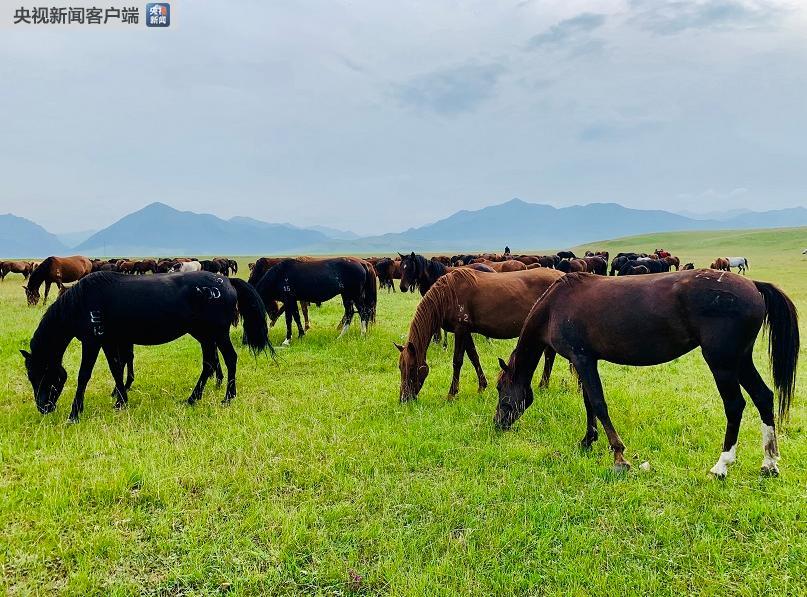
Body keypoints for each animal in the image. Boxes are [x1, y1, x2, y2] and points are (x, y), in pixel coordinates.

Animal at [18, 270, 272, 420]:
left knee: (229, 359)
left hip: (217, 333)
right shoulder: (109, 341)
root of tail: (226, 281)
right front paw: (121, 400)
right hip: (204, 335)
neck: (80, 302)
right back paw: (193, 398)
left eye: (41, 374)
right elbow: (116, 369)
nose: (43, 408)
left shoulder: (92, 342)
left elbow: (84, 375)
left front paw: (75, 413)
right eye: (31, 376)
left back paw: (228, 397)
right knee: (209, 364)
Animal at [396, 268, 560, 400]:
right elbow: (473, 356)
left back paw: (543, 385)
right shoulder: (466, 331)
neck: (447, 295)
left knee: (549, 355)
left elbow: (457, 361)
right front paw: (482, 386)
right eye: (400, 367)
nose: (404, 398)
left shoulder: (460, 330)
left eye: (412, 368)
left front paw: (452, 394)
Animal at [496, 268, 800, 478]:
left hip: (722, 363)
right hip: (741, 360)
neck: (555, 306)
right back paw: (769, 463)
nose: (498, 424)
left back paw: (722, 465)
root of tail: (753, 286)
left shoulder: (582, 359)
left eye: (501, 391)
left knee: (735, 405)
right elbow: (589, 403)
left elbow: (598, 404)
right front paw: (587, 441)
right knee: (763, 397)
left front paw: (619, 457)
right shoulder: (585, 361)